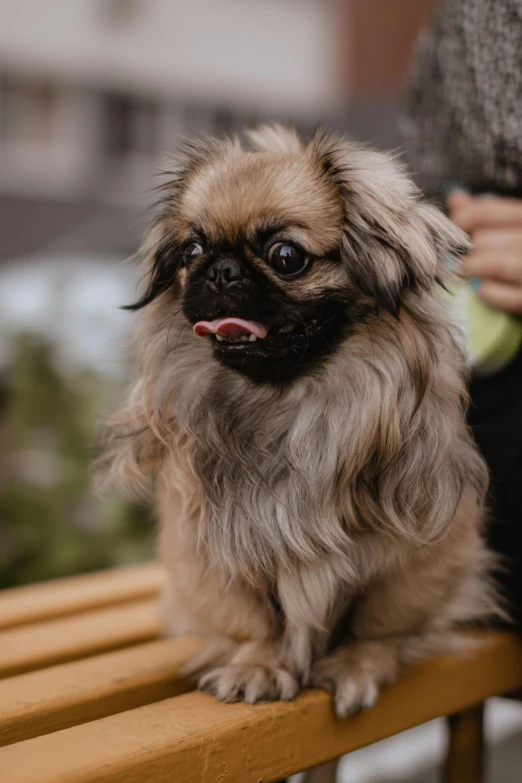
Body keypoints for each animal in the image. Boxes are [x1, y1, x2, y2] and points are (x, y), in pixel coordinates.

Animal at [100, 122, 496, 716]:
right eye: (192, 250)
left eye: (286, 256)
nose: (220, 270)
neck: (285, 407)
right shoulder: (206, 550)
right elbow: (248, 620)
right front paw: (258, 667)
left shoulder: (419, 556)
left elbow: (380, 623)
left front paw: (357, 665)